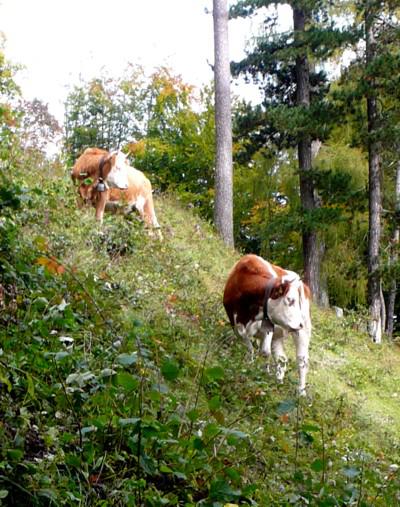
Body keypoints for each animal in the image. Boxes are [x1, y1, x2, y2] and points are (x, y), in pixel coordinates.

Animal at [222, 256, 312, 394]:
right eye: (290, 300)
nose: (300, 323)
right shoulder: (235, 323)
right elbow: (249, 346)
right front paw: (249, 364)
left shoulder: (268, 325)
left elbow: (264, 351)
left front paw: (263, 373)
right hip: (278, 336)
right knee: (282, 359)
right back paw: (278, 382)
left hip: (303, 332)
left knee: (302, 361)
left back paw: (301, 392)